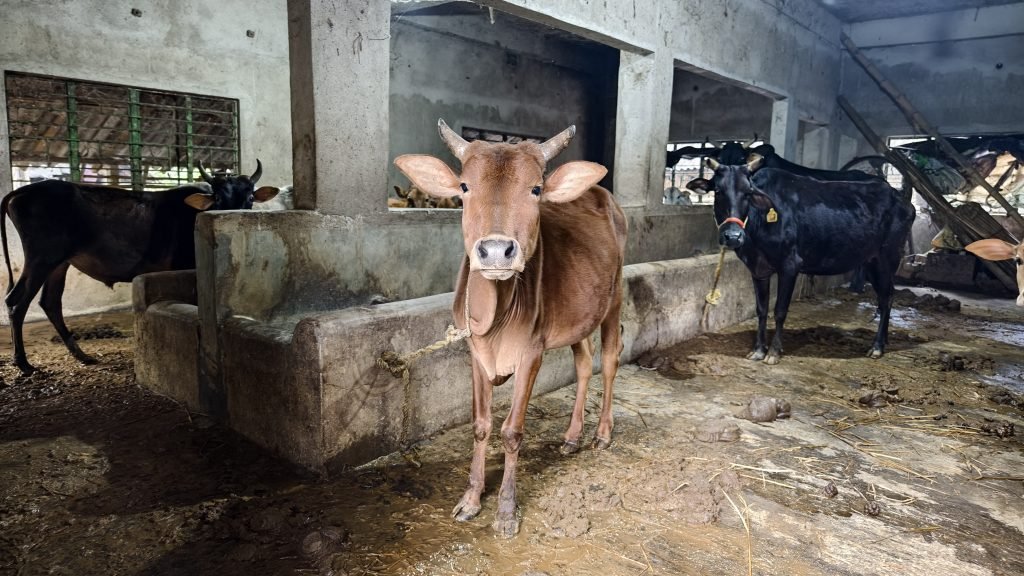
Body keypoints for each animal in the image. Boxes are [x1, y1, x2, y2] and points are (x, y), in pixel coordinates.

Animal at [2, 160, 277, 375]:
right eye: (218, 198)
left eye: (250, 198)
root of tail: (26, 190)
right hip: (41, 258)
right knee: (17, 302)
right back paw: (23, 364)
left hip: (59, 262)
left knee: (49, 302)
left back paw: (81, 355)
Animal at [394, 119, 626, 537]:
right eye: (464, 187)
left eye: (535, 189)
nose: (496, 251)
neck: (496, 314)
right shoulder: (473, 351)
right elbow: (481, 425)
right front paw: (471, 499)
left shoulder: (531, 352)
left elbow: (512, 431)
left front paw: (505, 510)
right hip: (580, 315)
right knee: (584, 363)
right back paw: (572, 437)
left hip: (614, 299)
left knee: (611, 360)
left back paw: (601, 433)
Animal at [708, 152, 914, 364]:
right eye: (718, 190)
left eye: (748, 192)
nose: (733, 236)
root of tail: (902, 200)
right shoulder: (758, 269)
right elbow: (762, 310)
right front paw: (758, 350)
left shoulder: (790, 266)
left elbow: (780, 311)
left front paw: (773, 352)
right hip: (871, 261)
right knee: (884, 297)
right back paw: (884, 341)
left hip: (888, 258)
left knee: (887, 297)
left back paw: (877, 347)